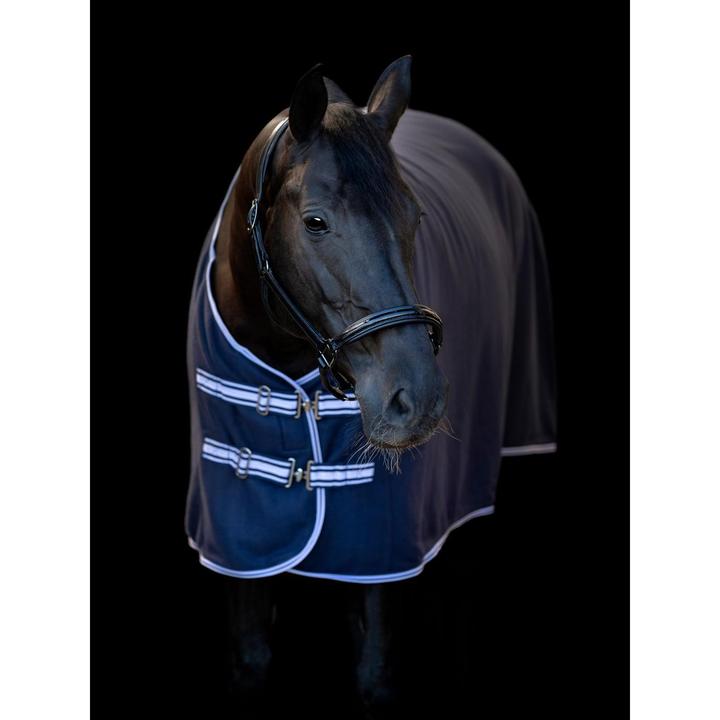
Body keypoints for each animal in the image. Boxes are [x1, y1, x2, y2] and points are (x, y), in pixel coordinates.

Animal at [185, 56, 556, 715]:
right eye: (315, 221)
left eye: (416, 217)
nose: (418, 400)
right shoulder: (240, 551)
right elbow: (251, 657)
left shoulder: (381, 559)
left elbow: (376, 669)